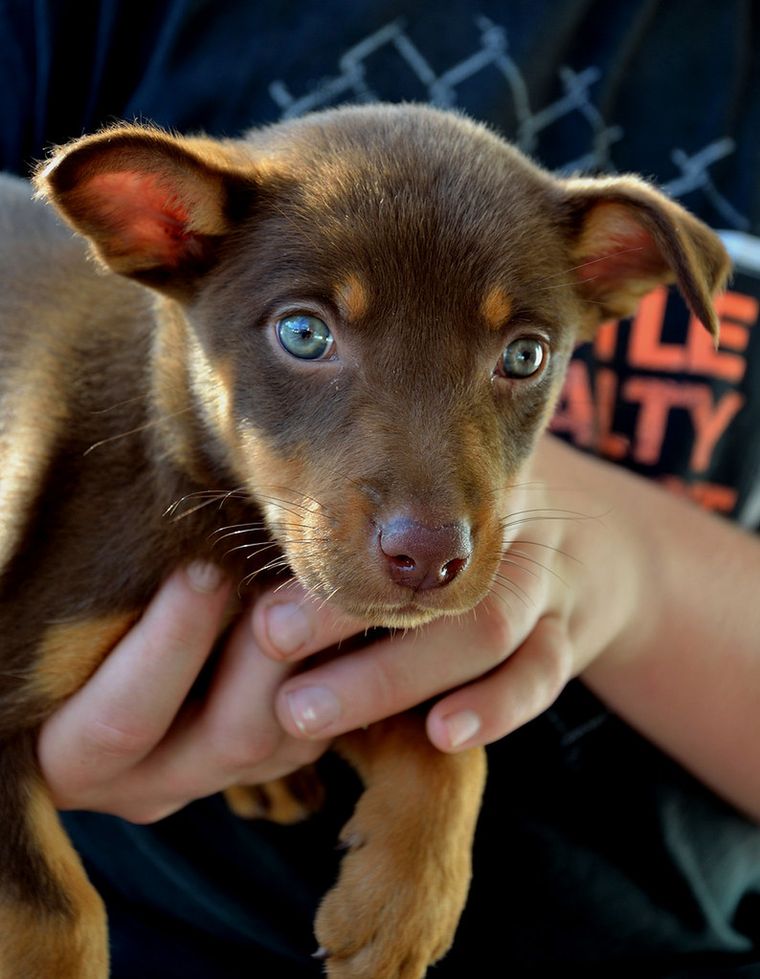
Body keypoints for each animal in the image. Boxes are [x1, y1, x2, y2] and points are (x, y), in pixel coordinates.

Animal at [0, 103, 728, 976]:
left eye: (525, 355)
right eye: (303, 334)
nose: (430, 559)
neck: (224, 521)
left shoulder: (346, 659)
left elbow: (448, 747)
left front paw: (402, 903)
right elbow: (54, 909)